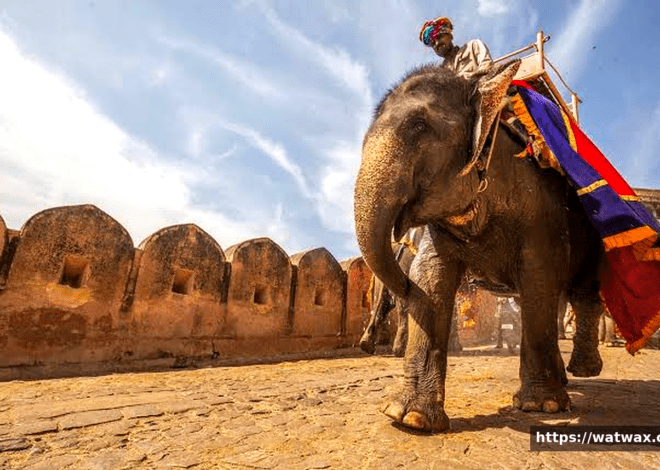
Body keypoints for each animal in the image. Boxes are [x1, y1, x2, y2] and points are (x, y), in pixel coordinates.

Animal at [353, 60, 606, 432]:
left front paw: (540, 406)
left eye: (419, 126)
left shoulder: (542, 211)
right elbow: (431, 278)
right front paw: (410, 418)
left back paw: (584, 371)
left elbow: (539, 278)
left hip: (592, 227)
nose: (403, 285)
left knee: (582, 292)